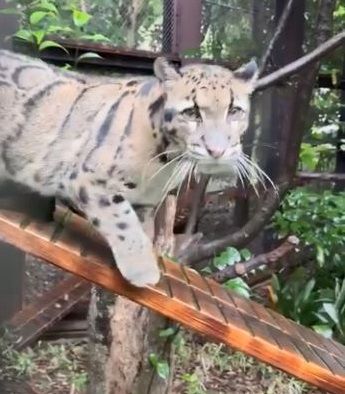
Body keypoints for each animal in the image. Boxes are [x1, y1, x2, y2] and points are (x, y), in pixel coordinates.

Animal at [0, 50, 258, 288]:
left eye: (234, 111)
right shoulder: (88, 177)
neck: (168, 160)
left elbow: (142, 225)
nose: (217, 150)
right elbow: (123, 221)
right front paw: (142, 269)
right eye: (191, 112)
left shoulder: (145, 199)